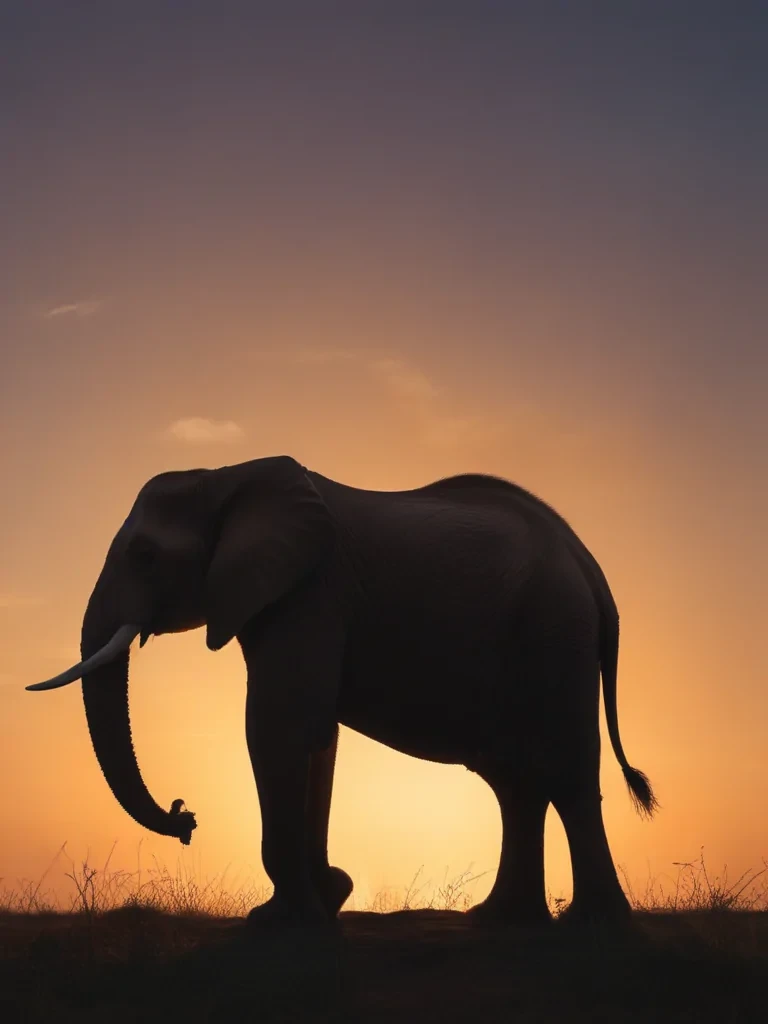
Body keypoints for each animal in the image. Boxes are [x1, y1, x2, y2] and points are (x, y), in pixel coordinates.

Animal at [28, 455, 656, 927]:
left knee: (565, 771)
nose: (186, 817)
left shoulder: (312, 591)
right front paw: (325, 898)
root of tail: (590, 568)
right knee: (515, 779)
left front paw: (284, 922)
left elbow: (279, 726)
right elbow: (317, 735)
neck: (227, 476)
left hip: (556, 633)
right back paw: (501, 920)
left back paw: (592, 927)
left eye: (145, 555)